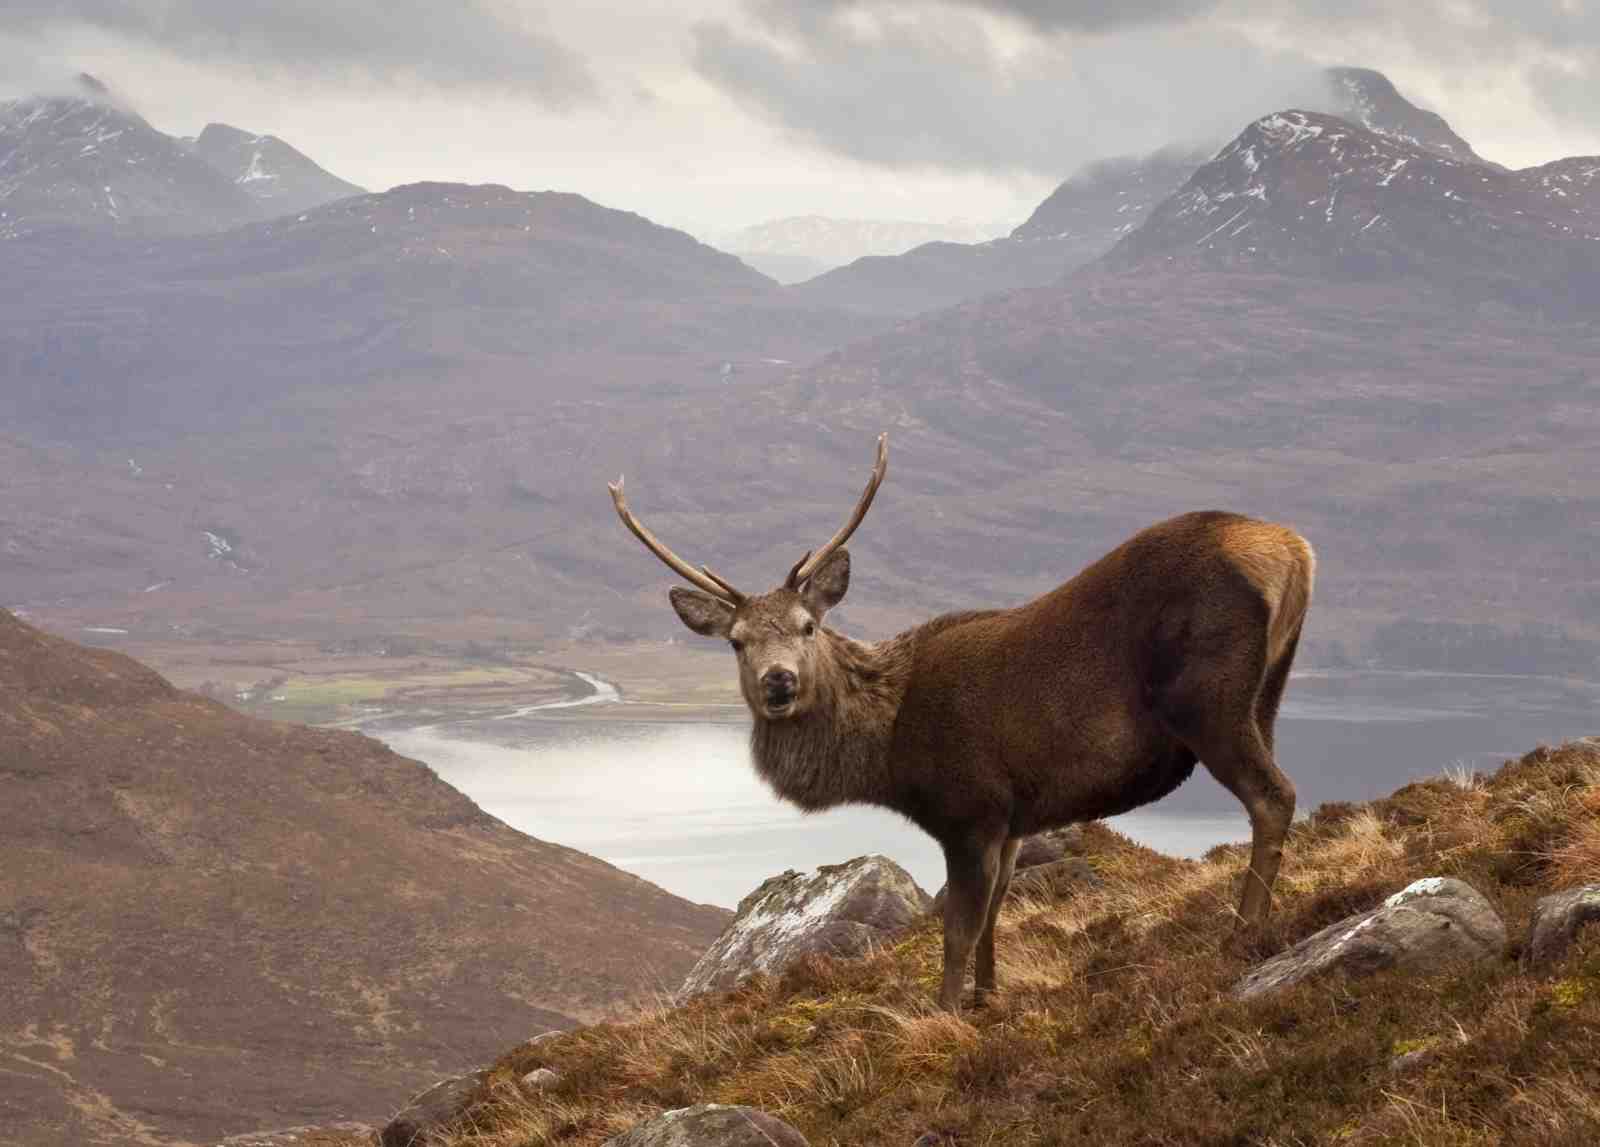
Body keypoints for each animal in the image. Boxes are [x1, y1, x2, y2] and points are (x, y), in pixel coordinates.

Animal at [608, 434, 1314, 1012]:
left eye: (809, 626)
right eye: (736, 642)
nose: (777, 682)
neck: (887, 754)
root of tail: (1293, 551)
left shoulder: (969, 807)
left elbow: (957, 930)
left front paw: (945, 1011)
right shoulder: (1013, 816)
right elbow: (997, 913)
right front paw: (987, 997)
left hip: (1208, 699)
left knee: (1274, 795)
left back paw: (1242, 933)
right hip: (1268, 696)